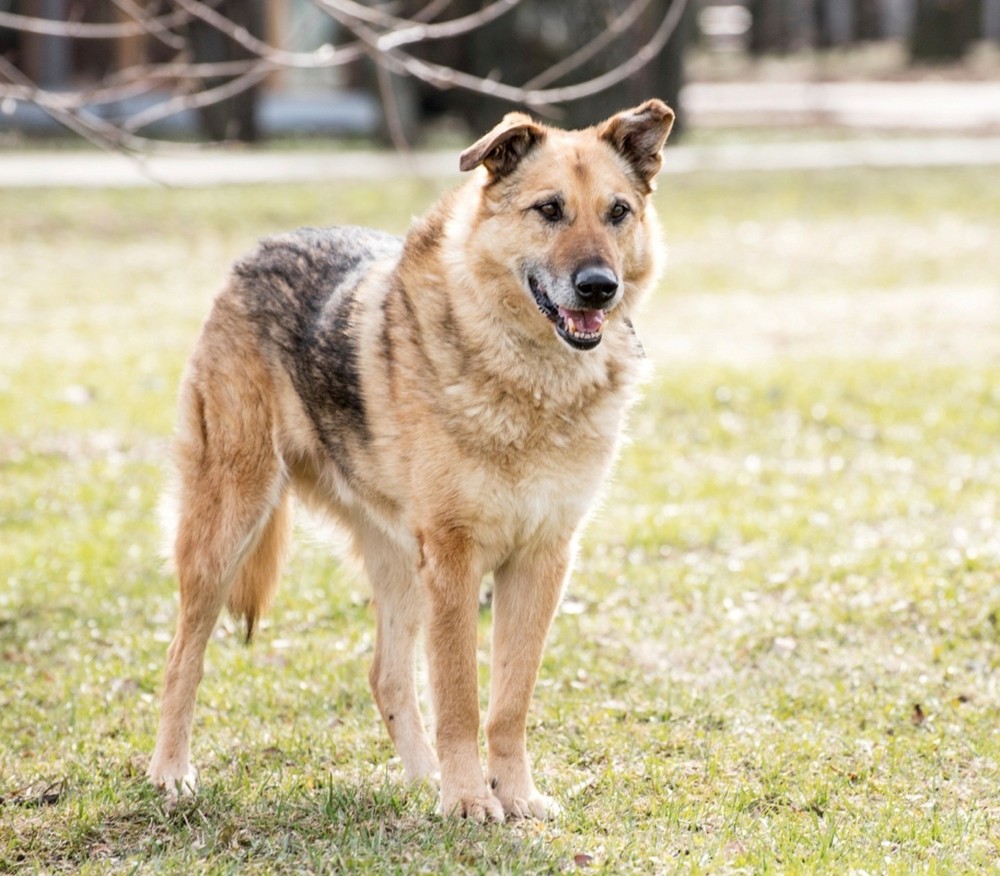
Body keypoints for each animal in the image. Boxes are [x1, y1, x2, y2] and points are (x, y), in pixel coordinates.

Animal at [147, 99, 674, 822]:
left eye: (618, 212)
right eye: (549, 210)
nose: (599, 287)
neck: (529, 379)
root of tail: (261, 249)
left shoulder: (541, 559)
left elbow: (508, 704)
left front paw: (513, 795)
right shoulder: (455, 559)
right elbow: (459, 698)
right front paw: (470, 801)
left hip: (399, 562)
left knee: (386, 676)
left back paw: (424, 780)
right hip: (227, 528)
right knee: (183, 655)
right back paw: (171, 772)